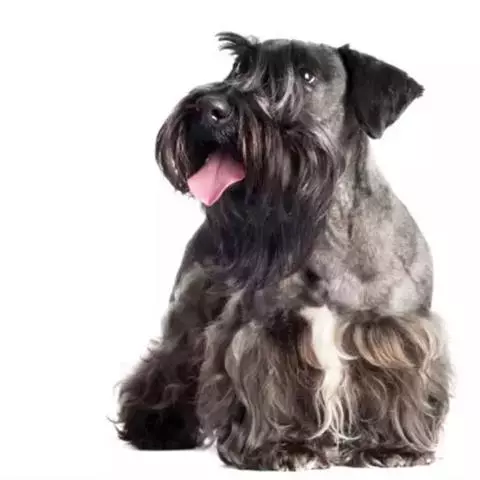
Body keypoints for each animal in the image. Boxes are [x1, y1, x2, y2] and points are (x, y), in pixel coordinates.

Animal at [116, 32, 451, 470]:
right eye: (239, 66)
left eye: (306, 75)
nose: (210, 108)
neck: (326, 227)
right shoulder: (264, 331)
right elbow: (270, 390)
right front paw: (283, 445)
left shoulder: (395, 328)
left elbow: (397, 389)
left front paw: (390, 446)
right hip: (188, 315)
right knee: (168, 363)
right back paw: (156, 425)